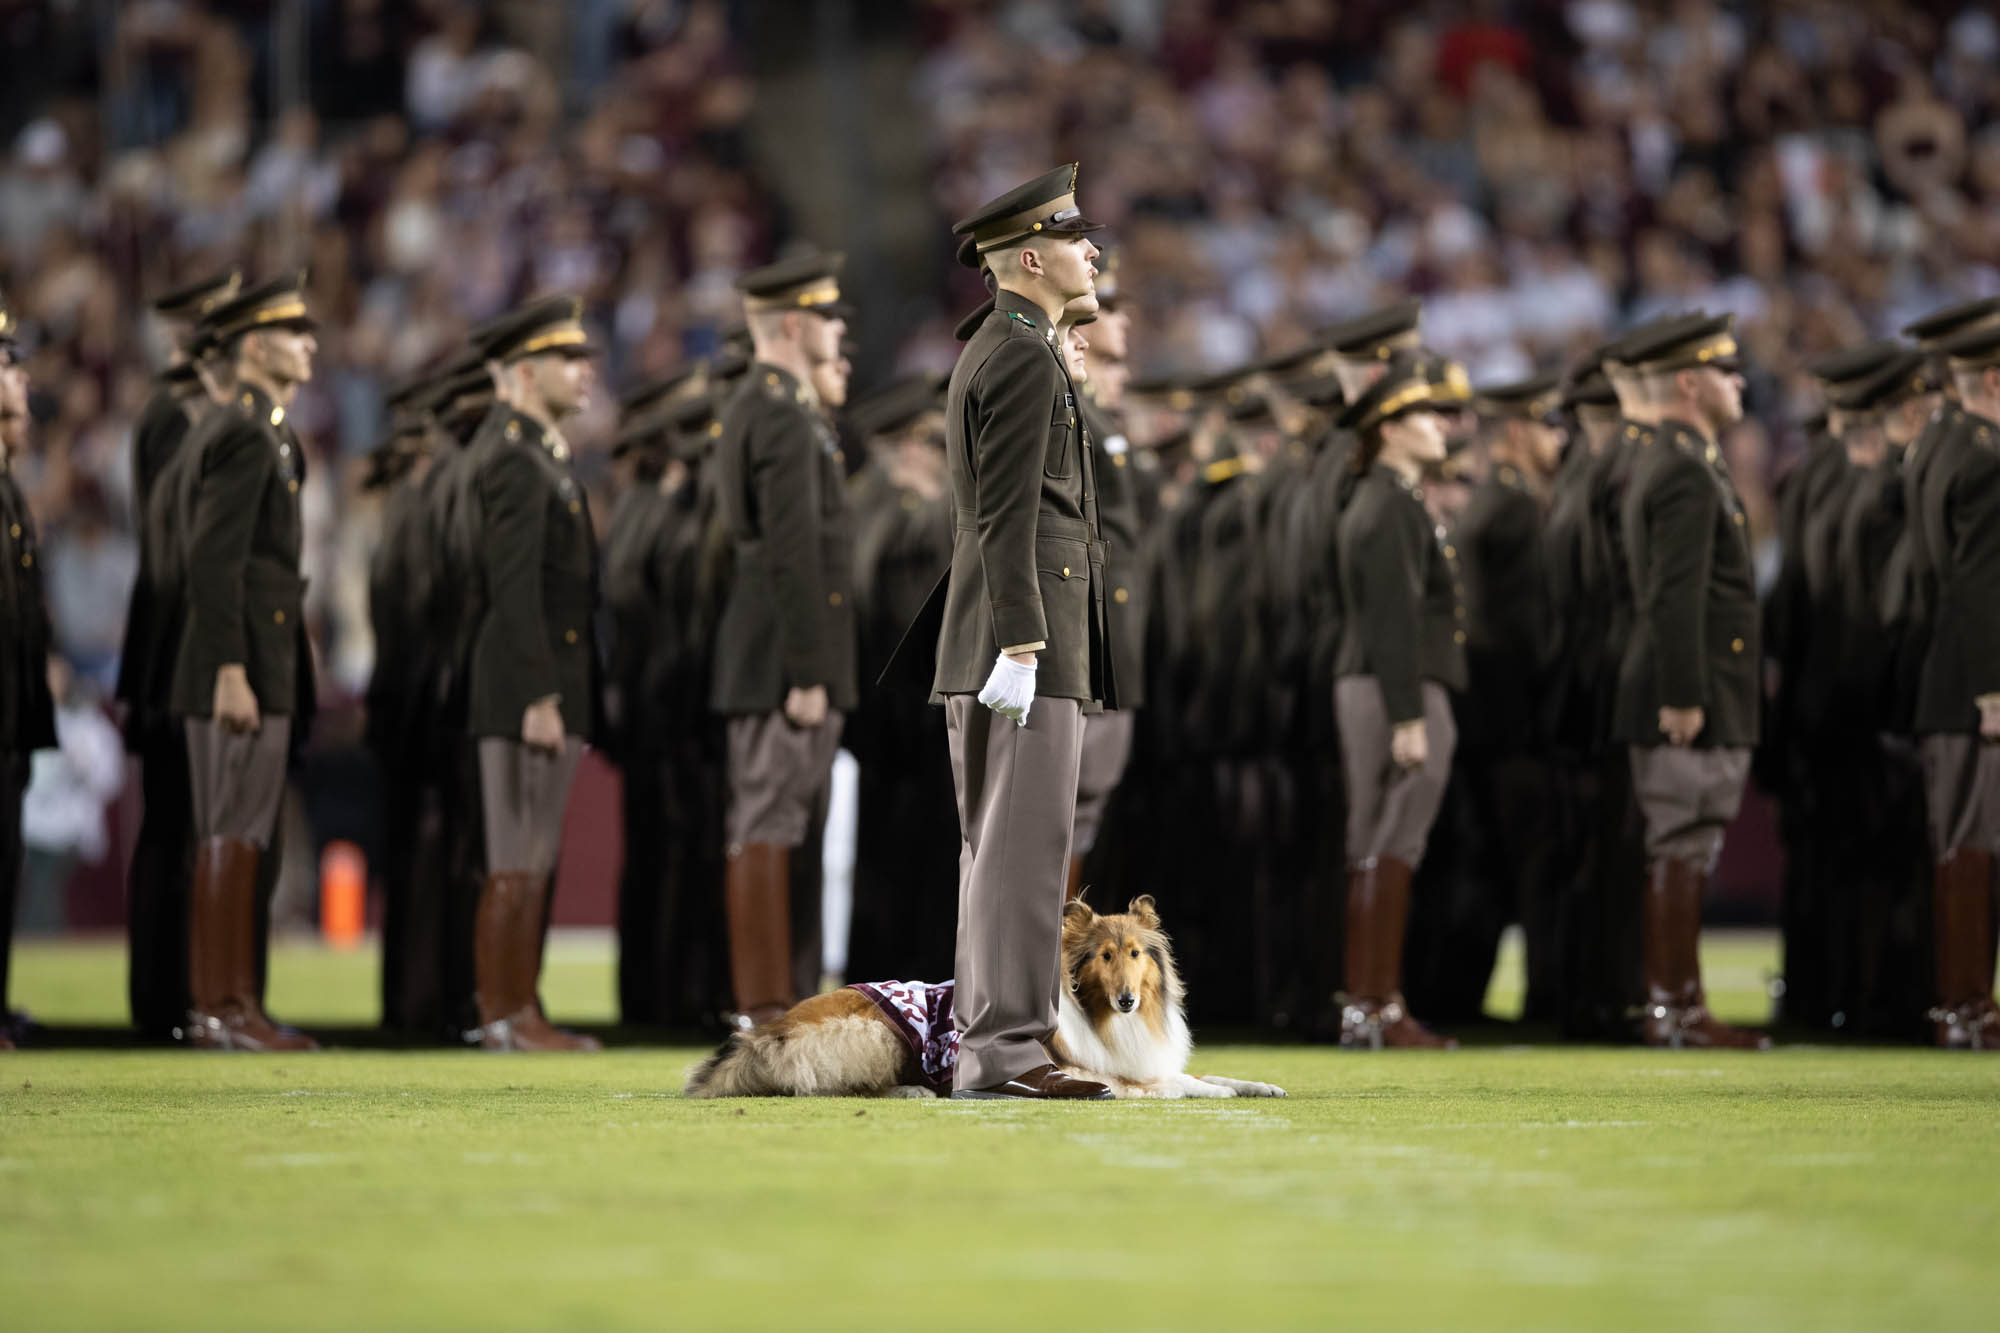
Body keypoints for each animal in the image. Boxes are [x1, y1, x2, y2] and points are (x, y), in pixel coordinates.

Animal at [684, 888, 1280, 1096]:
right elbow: (1177, 1087)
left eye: (1136, 954)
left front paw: (1260, 1087)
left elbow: (1207, 1075)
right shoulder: (1101, 1073)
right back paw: (914, 1091)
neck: (1106, 1019)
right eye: (1105, 957)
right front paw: (1219, 1097)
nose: (1127, 1001)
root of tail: (769, 1030)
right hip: (869, 1034)